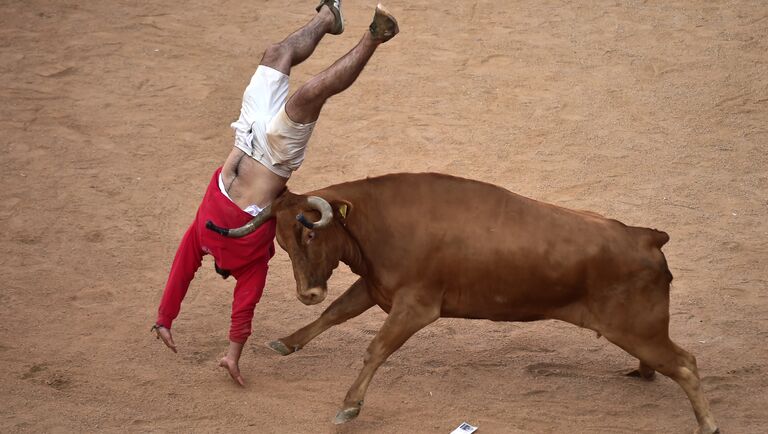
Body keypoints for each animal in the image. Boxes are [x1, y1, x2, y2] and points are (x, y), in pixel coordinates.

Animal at [206, 171, 720, 432]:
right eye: (282, 243)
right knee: (668, 361)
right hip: (637, 331)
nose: (307, 293)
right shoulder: (376, 289)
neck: (376, 220)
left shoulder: (415, 306)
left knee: (687, 363)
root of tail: (646, 236)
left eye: (311, 234)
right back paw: (643, 374)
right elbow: (335, 315)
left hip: (638, 328)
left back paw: (707, 424)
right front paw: (288, 341)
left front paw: (350, 406)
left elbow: (375, 349)